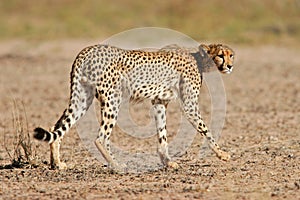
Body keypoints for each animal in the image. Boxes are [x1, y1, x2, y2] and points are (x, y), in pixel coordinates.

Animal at [32, 43, 234, 170]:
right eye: (220, 55)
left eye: (231, 55)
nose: (230, 66)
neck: (199, 59)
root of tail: (88, 50)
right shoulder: (189, 106)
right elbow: (205, 129)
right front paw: (222, 154)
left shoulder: (159, 102)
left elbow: (162, 133)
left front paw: (167, 162)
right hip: (112, 99)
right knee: (100, 137)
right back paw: (116, 165)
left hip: (82, 98)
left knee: (57, 127)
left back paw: (57, 164)